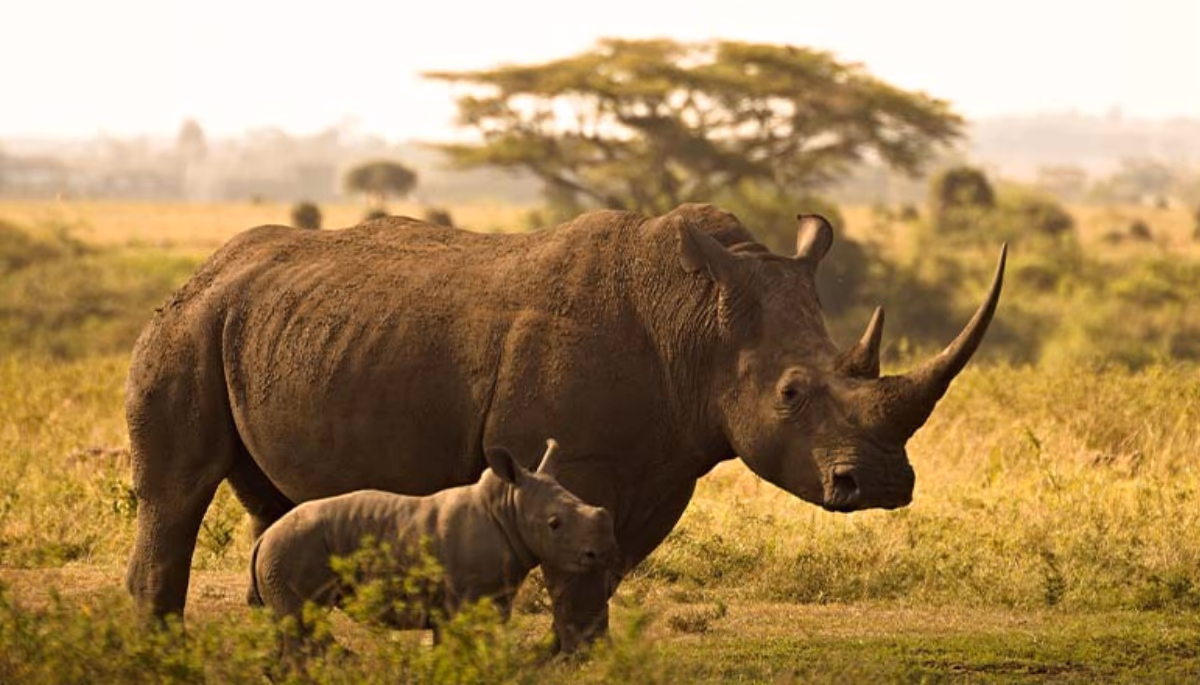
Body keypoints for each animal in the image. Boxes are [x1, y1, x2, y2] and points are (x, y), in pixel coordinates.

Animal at [248, 440, 616, 644]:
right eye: (554, 525)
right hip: (291, 549)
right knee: (302, 625)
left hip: (285, 551)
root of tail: (264, 537)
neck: (508, 508)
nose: (603, 552)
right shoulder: (465, 600)